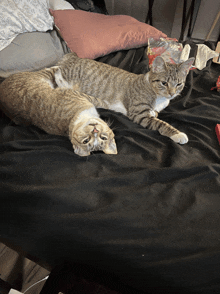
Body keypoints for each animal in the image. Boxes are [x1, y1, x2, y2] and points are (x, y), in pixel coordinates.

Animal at [54, 53, 194, 145]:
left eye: (179, 84)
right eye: (164, 83)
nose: (172, 94)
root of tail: (72, 56)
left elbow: (155, 114)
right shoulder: (139, 114)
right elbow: (160, 123)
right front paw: (177, 134)